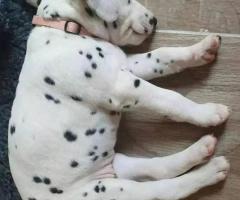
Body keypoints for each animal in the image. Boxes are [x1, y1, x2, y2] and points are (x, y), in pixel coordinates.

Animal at [8, 0, 231, 200]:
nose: (154, 20)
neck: (67, 27)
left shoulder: (127, 65)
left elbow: (162, 56)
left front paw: (199, 50)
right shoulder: (121, 86)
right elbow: (168, 97)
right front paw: (208, 113)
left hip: (119, 164)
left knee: (158, 169)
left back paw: (201, 151)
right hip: (112, 190)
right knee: (164, 190)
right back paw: (208, 171)